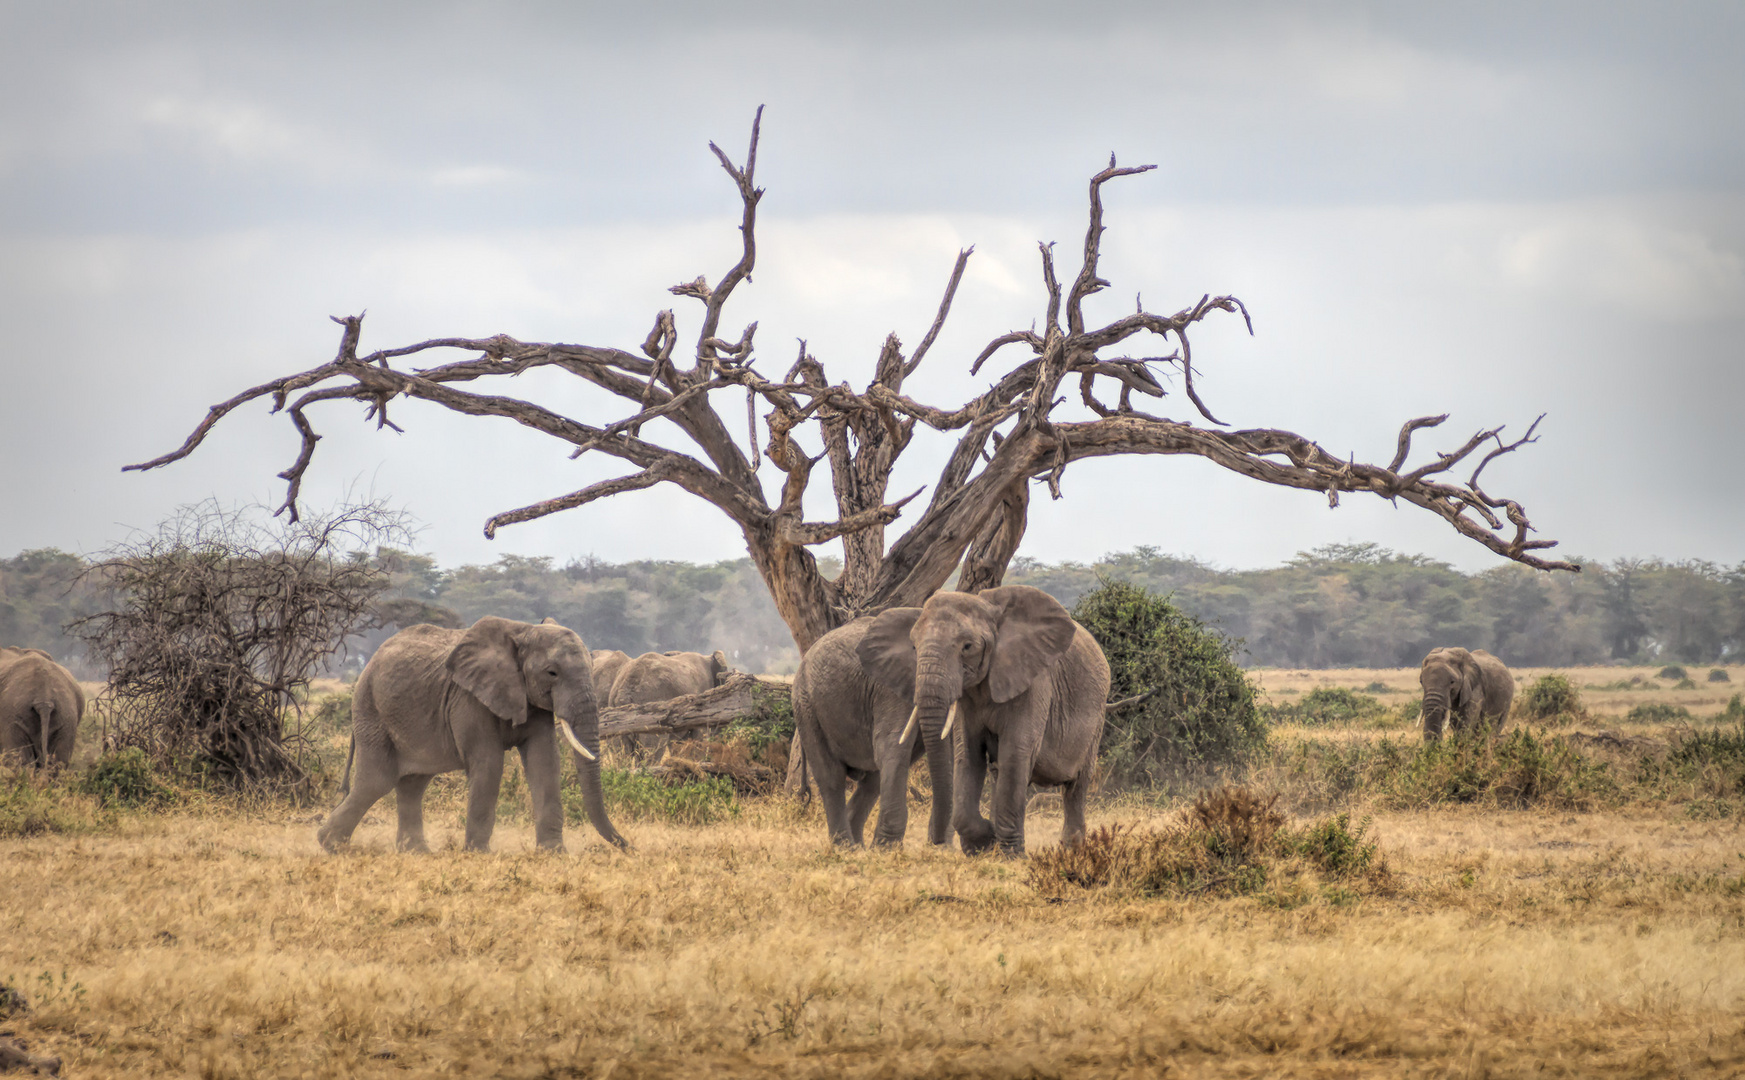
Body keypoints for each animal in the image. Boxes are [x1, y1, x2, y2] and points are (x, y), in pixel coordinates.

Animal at [317, 621, 631, 858]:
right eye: (552, 673)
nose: (629, 846)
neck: (524, 632)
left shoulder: (531, 700)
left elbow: (545, 763)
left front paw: (554, 853)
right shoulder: (468, 699)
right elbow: (489, 764)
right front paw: (479, 854)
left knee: (412, 784)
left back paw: (416, 853)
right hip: (371, 711)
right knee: (377, 780)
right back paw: (329, 844)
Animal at [795, 621, 956, 847]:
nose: (937, 843)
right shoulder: (890, 687)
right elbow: (893, 748)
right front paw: (886, 850)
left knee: (872, 781)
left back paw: (860, 848)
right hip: (807, 707)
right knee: (831, 777)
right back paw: (847, 849)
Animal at [855, 586, 1102, 858]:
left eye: (967, 646)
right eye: (914, 646)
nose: (938, 844)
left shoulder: (1034, 681)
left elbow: (1015, 752)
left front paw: (1009, 854)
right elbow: (968, 753)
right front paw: (984, 844)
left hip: (1096, 721)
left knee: (1076, 786)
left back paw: (1072, 851)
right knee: (999, 773)